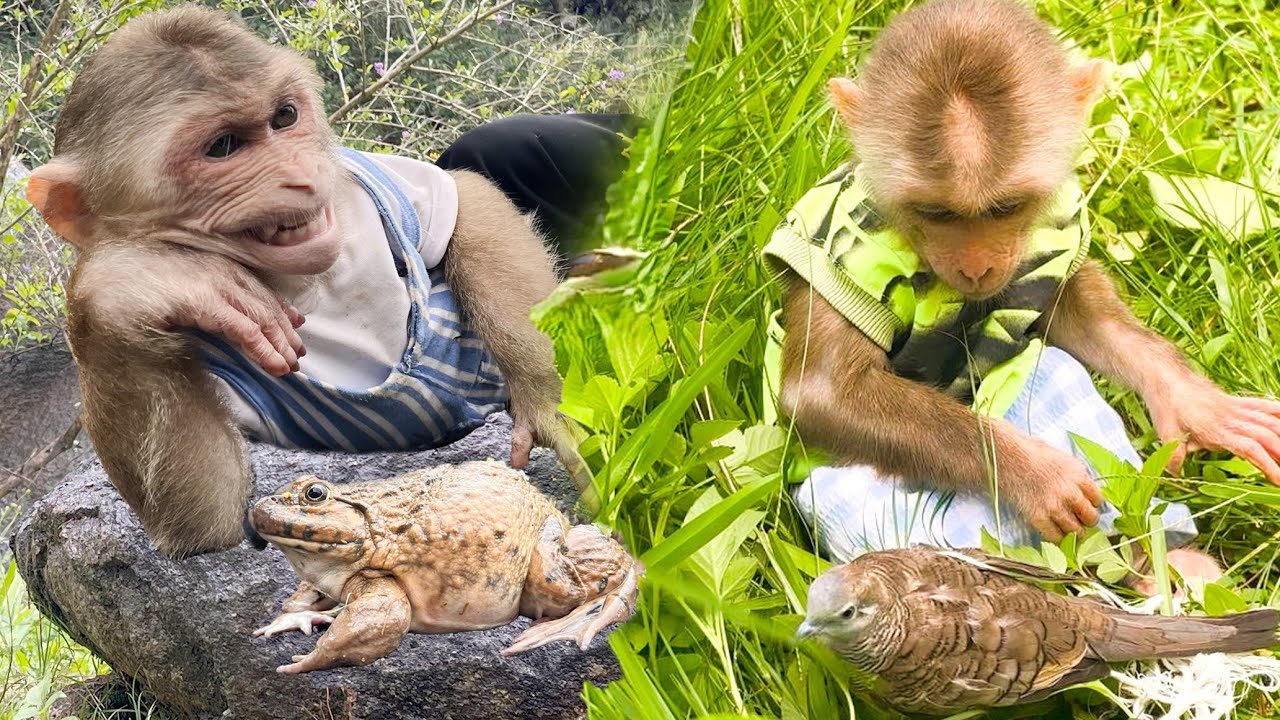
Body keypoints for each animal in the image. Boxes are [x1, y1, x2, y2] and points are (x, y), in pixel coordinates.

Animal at [25, 6, 592, 558]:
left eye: (284, 117)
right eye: (222, 146)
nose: (299, 174)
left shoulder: (352, 179)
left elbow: (469, 200)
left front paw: (548, 398)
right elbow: (208, 521)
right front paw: (141, 278)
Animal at [763, 0, 1280, 585]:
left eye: (1005, 207)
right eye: (936, 212)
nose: (977, 268)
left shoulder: (1061, 221)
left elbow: (1075, 316)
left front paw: (1193, 401)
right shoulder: (839, 250)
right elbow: (823, 393)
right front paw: (1028, 471)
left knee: (1048, 368)